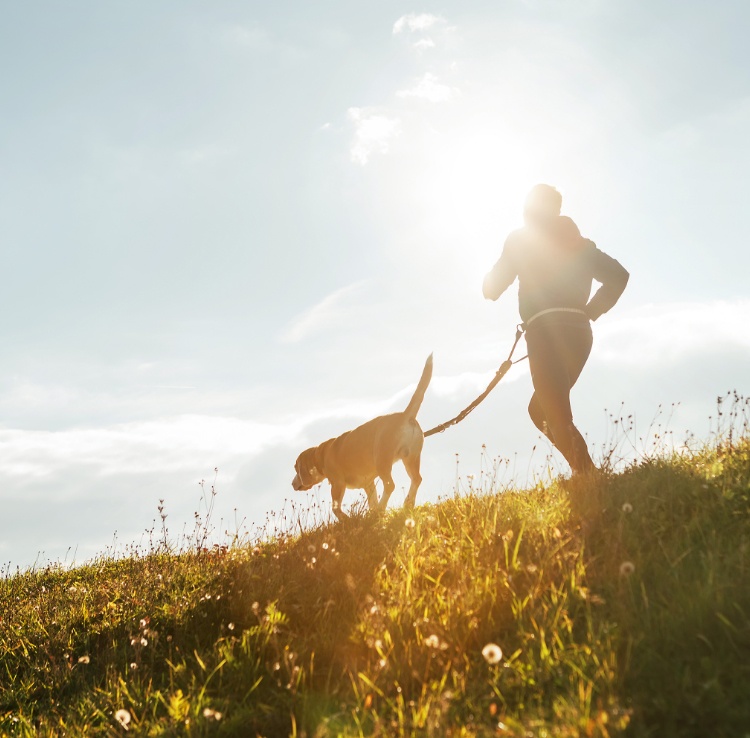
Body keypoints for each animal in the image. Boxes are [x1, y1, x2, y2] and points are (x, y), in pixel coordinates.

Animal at [294, 356, 434, 516]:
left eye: (295, 469)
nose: (292, 483)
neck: (321, 455)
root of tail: (405, 415)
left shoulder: (337, 484)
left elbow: (335, 508)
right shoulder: (369, 484)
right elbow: (371, 500)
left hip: (382, 460)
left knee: (390, 485)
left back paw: (382, 507)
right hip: (411, 459)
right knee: (416, 479)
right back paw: (407, 503)